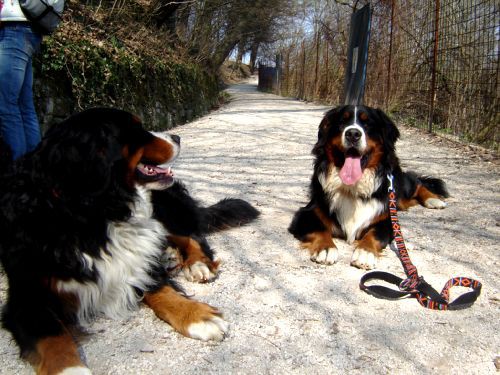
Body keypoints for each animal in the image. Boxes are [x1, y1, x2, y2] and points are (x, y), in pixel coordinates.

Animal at [0, 108, 258, 375]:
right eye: (135, 131)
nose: (177, 137)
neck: (92, 213)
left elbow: (161, 289)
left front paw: (196, 315)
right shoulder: (28, 295)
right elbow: (52, 338)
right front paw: (70, 369)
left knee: (191, 236)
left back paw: (197, 264)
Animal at [290, 104, 450, 272]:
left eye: (367, 124)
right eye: (342, 122)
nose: (353, 134)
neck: (352, 187)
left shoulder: (386, 220)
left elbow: (374, 234)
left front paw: (365, 252)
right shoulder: (308, 212)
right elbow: (319, 229)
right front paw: (326, 249)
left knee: (416, 182)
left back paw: (434, 200)